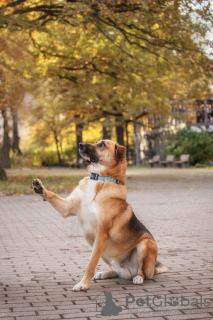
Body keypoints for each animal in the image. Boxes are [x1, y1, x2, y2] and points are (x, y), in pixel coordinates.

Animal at [31, 139, 167, 292]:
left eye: (102, 144)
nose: (80, 144)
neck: (99, 180)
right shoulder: (67, 208)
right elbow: (52, 195)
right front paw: (39, 188)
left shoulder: (101, 234)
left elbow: (90, 263)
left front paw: (83, 284)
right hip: (106, 253)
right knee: (117, 271)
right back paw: (105, 273)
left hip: (145, 244)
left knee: (142, 271)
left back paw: (138, 277)